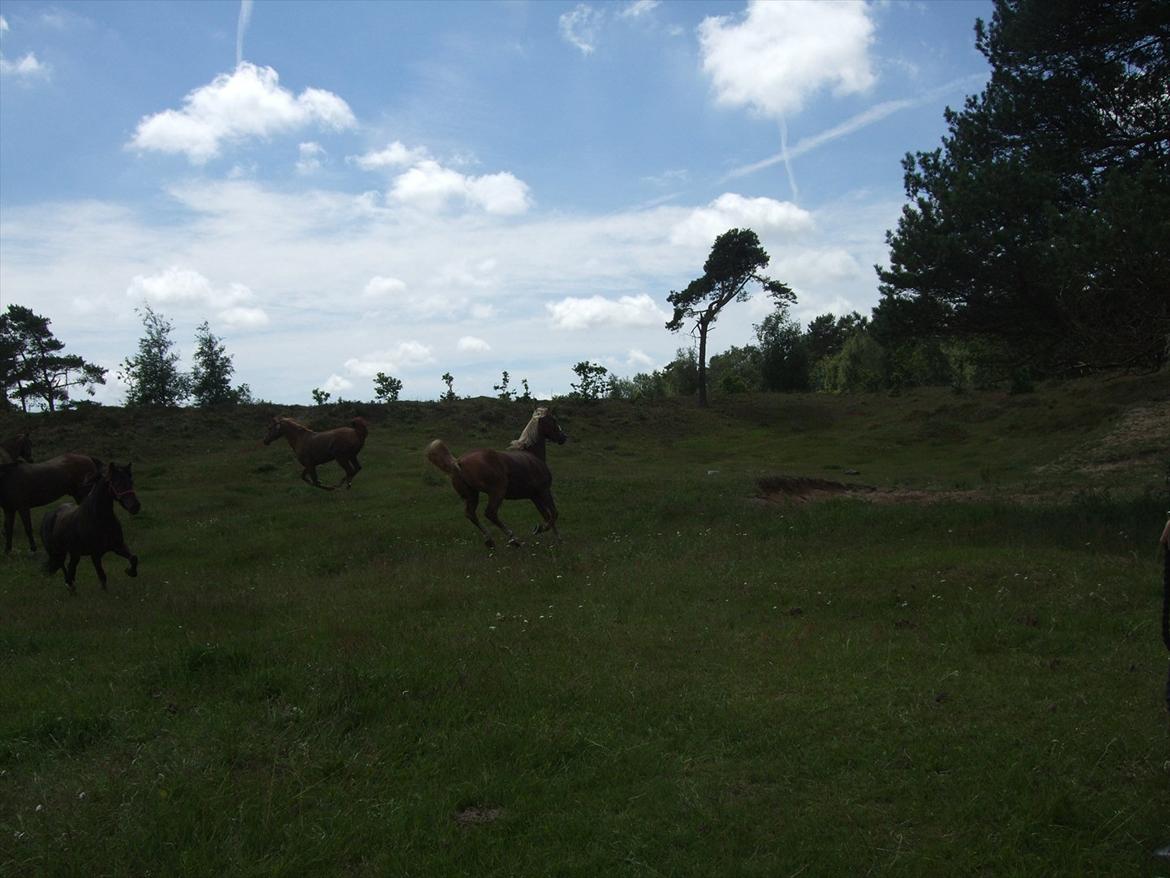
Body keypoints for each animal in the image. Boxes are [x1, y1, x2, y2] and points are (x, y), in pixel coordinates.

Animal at [41, 461, 139, 599]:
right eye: (117, 483)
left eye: (131, 482)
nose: (135, 506)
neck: (99, 519)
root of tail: (49, 515)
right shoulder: (95, 554)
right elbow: (102, 576)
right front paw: (105, 594)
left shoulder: (118, 546)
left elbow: (134, 558)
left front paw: (130, 572)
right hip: (59, 553)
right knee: (64, 569)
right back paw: (70, 588)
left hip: (74, 554)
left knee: (70, 569)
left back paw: (73, 590)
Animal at [428, 407, 568, 550]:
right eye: (553, 420)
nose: (563, 437)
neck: (533, 456)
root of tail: (458, 462)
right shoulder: (544, 491)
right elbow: (554, 514)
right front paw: (540, 529)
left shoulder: (534, 496)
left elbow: (546, 515)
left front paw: (558, 540)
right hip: (497, 491)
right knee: (490, 513)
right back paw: (513, 540)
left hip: (472, 495)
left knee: (471, 514)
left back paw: (490, 540)